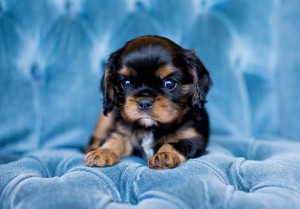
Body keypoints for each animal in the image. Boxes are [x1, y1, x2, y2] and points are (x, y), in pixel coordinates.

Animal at [83, 35, 212, 169]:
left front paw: (164, 155)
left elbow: (174, 143)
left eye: (170, 83)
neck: (150, 128)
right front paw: (103, 152)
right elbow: (115, 139)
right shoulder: (123, 133)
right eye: (126, 83)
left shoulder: (192, 138)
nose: (144, 102)